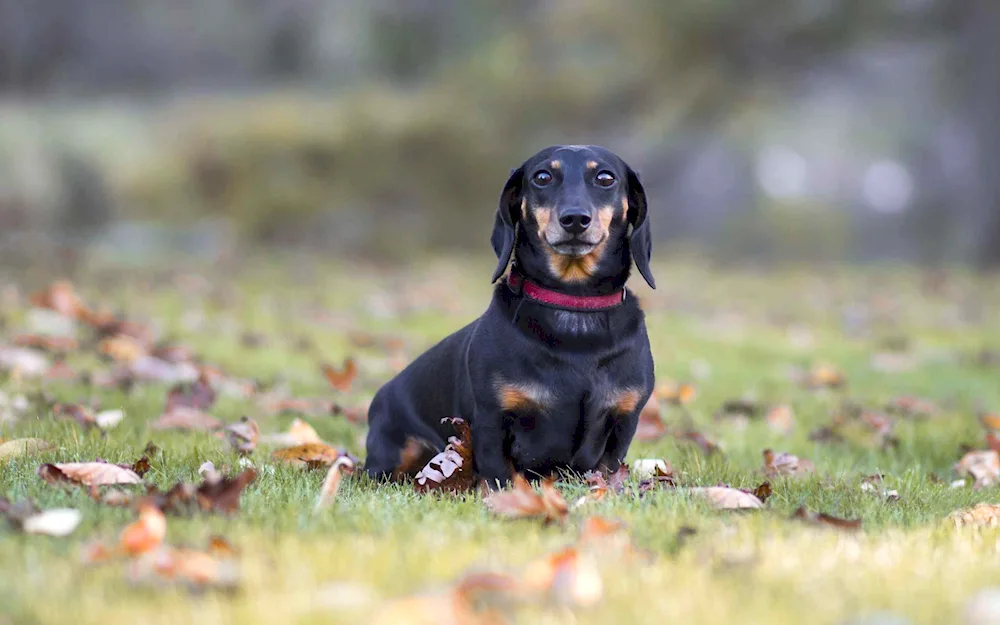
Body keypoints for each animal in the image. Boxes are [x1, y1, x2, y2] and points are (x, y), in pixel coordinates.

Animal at [366, 144, 656, 486]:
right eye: (542, 177)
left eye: (605, 178)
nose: (574, 219)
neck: (573, 305)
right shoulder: (491, 420)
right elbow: (502, 477)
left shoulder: (624, 422)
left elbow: (606, 470)